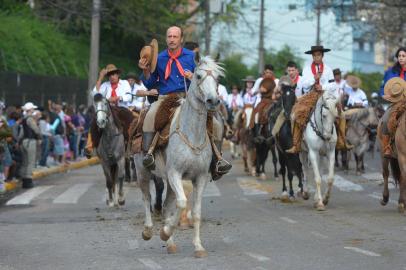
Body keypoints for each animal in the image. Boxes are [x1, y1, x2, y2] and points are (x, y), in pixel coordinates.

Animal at [133, 57, 222, 258]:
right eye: (198, 76)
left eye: (218, 77)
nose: (213, 100)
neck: (192, 134)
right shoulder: (175, 173)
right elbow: (182, 203)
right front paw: (164, 232)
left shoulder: (200, 177)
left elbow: (195, 212)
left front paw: (198, 247)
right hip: (143, 172)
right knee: (146, 198)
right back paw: (148, 231)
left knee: (166, 206)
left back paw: (171, 244)